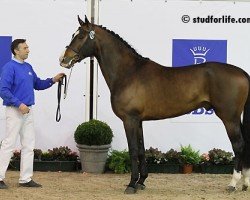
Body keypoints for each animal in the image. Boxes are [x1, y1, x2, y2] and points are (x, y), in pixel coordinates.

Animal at [59, 15, 250, 194]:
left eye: (81, 36)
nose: (63, 59)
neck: (128, 72)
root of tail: (242, 73)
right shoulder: (139, 121)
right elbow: (142, 149)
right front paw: (141, 181)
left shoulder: (129, 120)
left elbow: (133, 150)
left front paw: (131, 184)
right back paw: (245, 183)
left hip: (229, 118)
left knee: (239, 145)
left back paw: (233, 183)